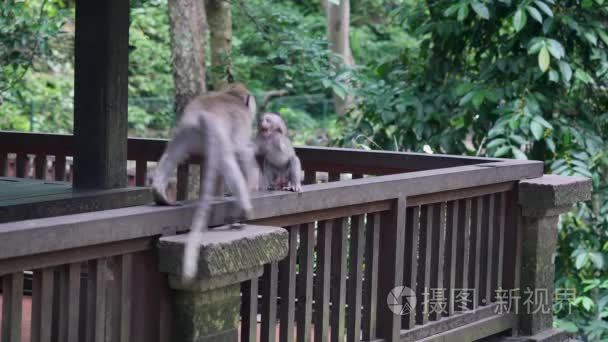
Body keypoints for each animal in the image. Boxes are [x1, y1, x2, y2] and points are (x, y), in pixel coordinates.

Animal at [152, 83, 258, 280]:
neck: (231, 95)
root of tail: (202, 115)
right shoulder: (242, 123)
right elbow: (243, 151)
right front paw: (253, 185)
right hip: (216, 135)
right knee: (228, 158)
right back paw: (244, 208)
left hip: (184, 131)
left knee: (172, 155)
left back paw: (159, 194)